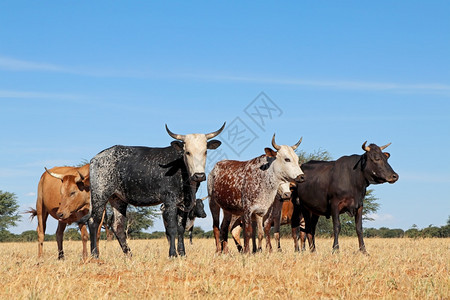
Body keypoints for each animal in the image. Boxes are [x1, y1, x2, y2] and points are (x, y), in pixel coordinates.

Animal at [87, 123, 225, 256]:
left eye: (205, 151)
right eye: (188, 152)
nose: (199, 175)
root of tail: (96, 158)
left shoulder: (184, 203)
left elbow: (181, 228)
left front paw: (182, 253)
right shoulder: (169, 201)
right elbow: (172, 228)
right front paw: (173, 254)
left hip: (118, 199)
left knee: (118, 226)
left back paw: (129, 255)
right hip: (100, 194)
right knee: (94, 221)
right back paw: (94, 254)